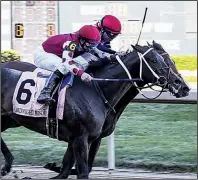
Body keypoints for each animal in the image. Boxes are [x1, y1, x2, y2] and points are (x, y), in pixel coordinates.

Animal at [1, 43, 190, 179]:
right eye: (154, 60)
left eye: (171, 61)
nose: (183, 86)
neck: (96, 88)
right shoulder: (80, 138)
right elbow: (82, 171)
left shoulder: (86, 138)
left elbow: (68, 169)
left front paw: (54, 166)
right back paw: (7, 165)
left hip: (10, 120)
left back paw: (8, 165)